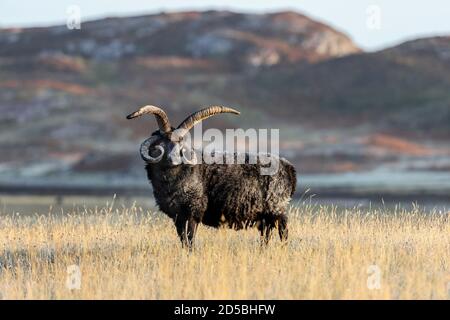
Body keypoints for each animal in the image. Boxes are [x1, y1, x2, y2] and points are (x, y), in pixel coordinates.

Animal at [126, 105, 298, 248]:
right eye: (162, 143)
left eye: (181, 145)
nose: (173, 159)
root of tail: (288, 167)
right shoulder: (178, 217)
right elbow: (183, 240)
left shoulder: (193, 211)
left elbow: (190, 240)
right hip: (265, 216)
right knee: (266, 236)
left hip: (278, 209)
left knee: (284, 233)